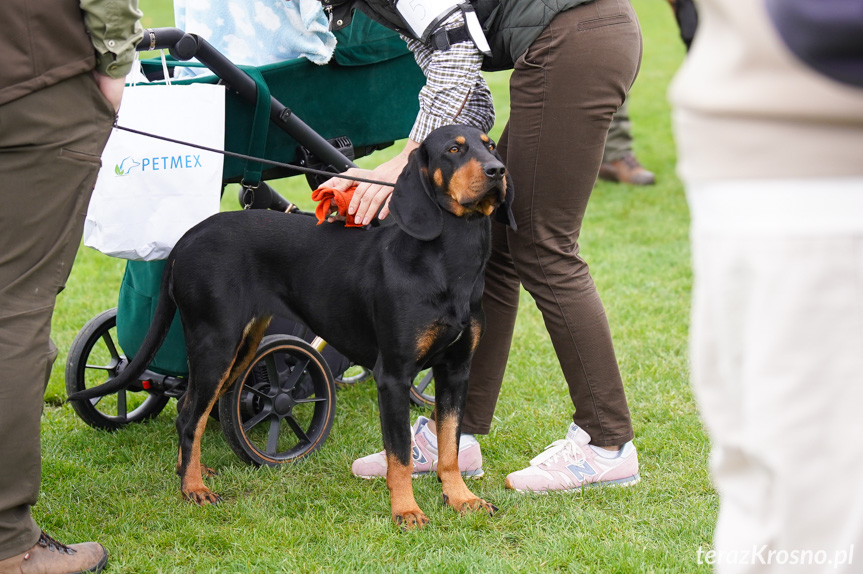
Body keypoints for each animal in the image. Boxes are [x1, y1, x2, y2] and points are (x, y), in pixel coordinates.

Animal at [69, 126, 512, 532]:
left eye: (490, 145)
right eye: (453, 149)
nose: (498, 170)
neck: (447, 263)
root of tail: (190, 235)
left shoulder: (456, 371)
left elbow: (450, 445)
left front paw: (461, 499)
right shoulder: (394, 375)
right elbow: (399, 453)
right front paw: (406, 511)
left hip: (242, 346)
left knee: (188, 407)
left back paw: (191, 472)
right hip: (217, 343)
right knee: (190, 414)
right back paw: (193, 488)